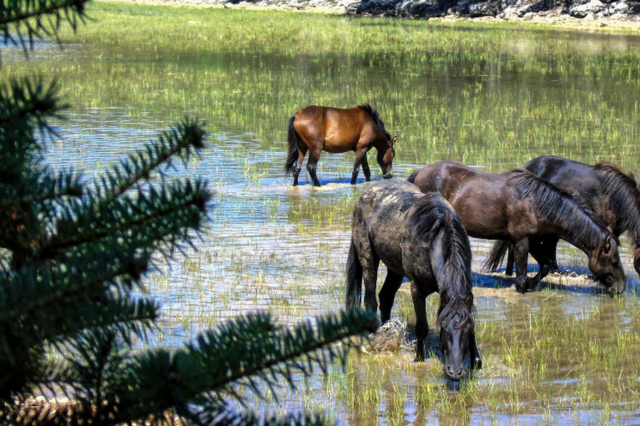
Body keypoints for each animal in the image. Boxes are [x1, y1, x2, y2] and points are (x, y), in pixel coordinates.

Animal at [344, 180, 480, 380]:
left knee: (386, 297)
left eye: (467, 330)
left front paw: (476, 361)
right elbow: (422, 326)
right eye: (444, 329)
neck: (435, 238)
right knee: (370, 299)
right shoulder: (417, 289)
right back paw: (373, 340)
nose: (454, 372)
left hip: (394, 269)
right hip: (367, 258)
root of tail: (366, 193)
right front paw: (419, 358)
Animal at [408, 161, 628, 296]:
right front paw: (523, 287)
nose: (621, 288)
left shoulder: (534, 242)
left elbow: (545, 266)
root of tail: (420, 172)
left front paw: (532, 284)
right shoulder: (521, 241)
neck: (536, 203)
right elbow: (521, 276)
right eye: (613, 261)